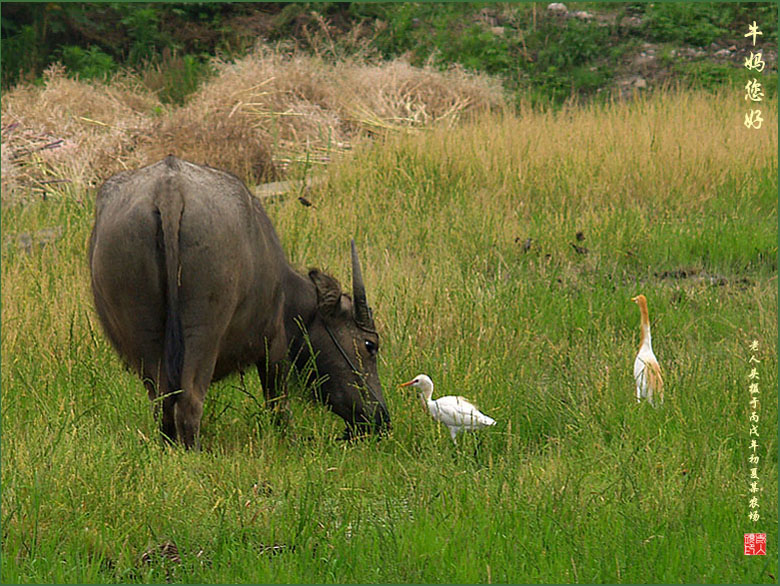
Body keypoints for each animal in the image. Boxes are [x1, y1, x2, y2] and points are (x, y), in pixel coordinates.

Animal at [89, 153, 390, 444]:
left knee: (163, 403)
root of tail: (169, 191)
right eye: (370, 345)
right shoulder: (273, 345)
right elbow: (278, 404)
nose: (381, 418)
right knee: (190, 403)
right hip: (204, 333)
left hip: (145, 333)